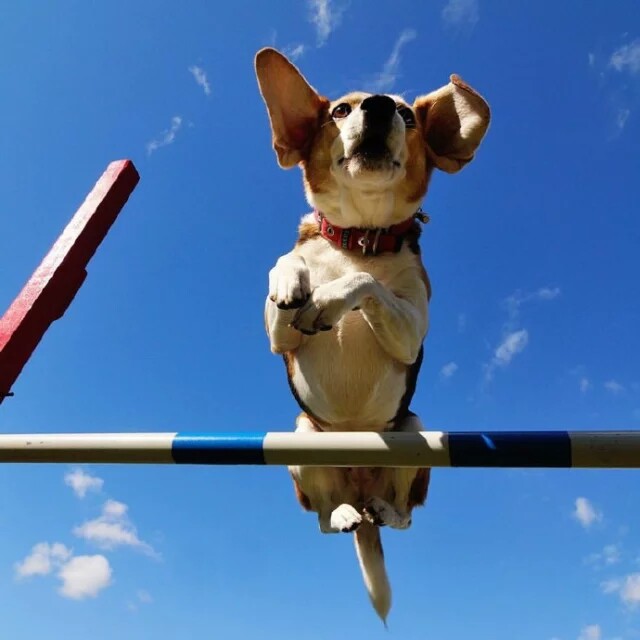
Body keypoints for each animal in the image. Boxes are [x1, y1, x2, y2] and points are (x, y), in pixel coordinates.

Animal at [255, 48, 490, 620]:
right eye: (340, 110)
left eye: (408, 116)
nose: (381, 106)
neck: (358, 240)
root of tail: (361, 488)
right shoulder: (278, 337)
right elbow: (287, 269)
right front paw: (293, 279)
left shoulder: (410, 329)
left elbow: (367, 287)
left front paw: (329, 300)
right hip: (300, 439)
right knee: (323, 521)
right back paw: (343, 513)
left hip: (415, 433)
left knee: (405, 518)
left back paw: (383, 509)